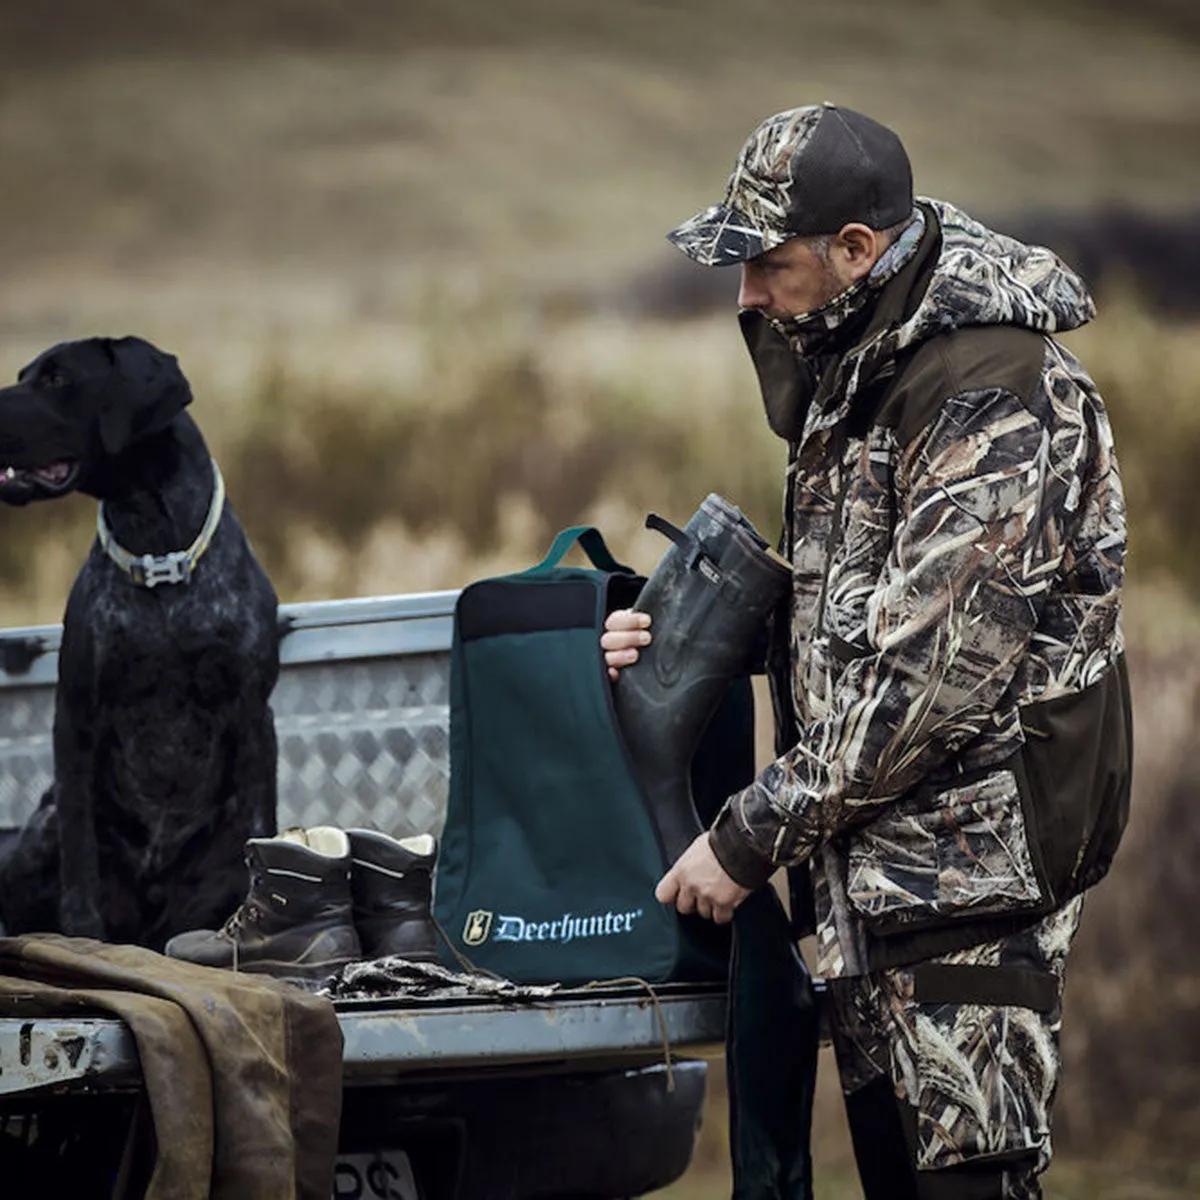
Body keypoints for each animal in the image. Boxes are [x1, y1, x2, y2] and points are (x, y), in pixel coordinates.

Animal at [0, 336, 278, 945]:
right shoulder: (75, 716)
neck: (159, 558)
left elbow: (263, 828)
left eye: (58, 379)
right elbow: (79, 861)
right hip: (42, 828)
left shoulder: (252, 713)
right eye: (25, 375)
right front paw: (83, 938)